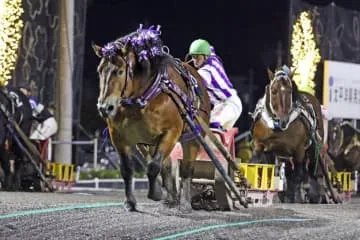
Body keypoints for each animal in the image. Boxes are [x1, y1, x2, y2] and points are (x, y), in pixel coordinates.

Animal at [91, 25, 211, 211]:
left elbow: (154, 166)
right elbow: (128, 169)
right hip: (147, 141)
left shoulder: (171, 132)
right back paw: (171, 197)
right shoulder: (119, 136)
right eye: (99, 71)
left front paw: (155, 193)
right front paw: (130, 201)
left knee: (186, 168)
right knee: (165, 165)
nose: (105, 107)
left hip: (192, 138)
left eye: (120, 71)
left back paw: (184, 202)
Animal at [250, 65, 332, 202]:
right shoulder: (260, 144)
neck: (277, 128)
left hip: (313, 146)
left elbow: (298, 175)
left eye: (290, 91)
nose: (283, 120)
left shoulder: (298, 150)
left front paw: (298, 197)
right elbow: (258, 166)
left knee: (311, 169)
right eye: (273, 91)